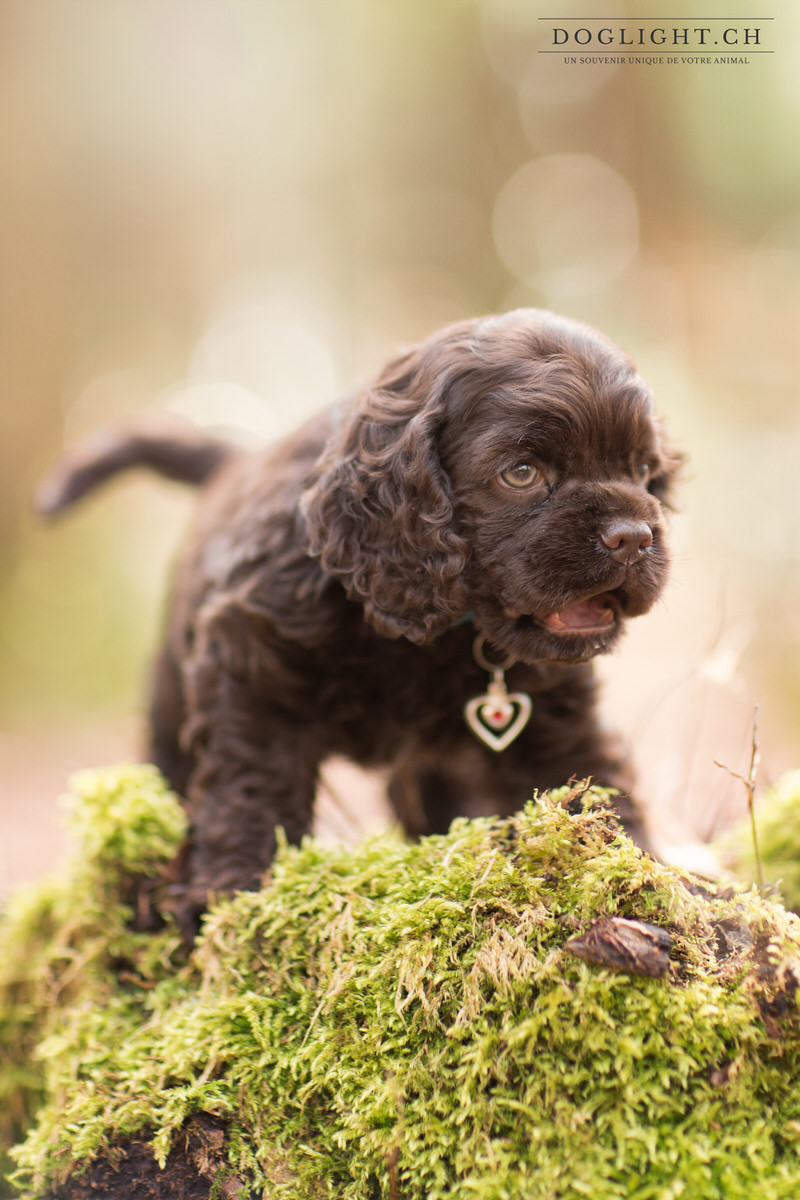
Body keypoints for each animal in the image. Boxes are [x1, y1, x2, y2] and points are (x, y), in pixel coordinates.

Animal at [38, 307, 681, 916]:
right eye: (521, 473)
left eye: (642, 470)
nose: (633, 538)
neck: (425, 630)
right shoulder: (251, 666)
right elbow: (252, 782)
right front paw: (232, 889)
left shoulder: (551, 711)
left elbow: (593, 787)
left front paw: (656, 889)